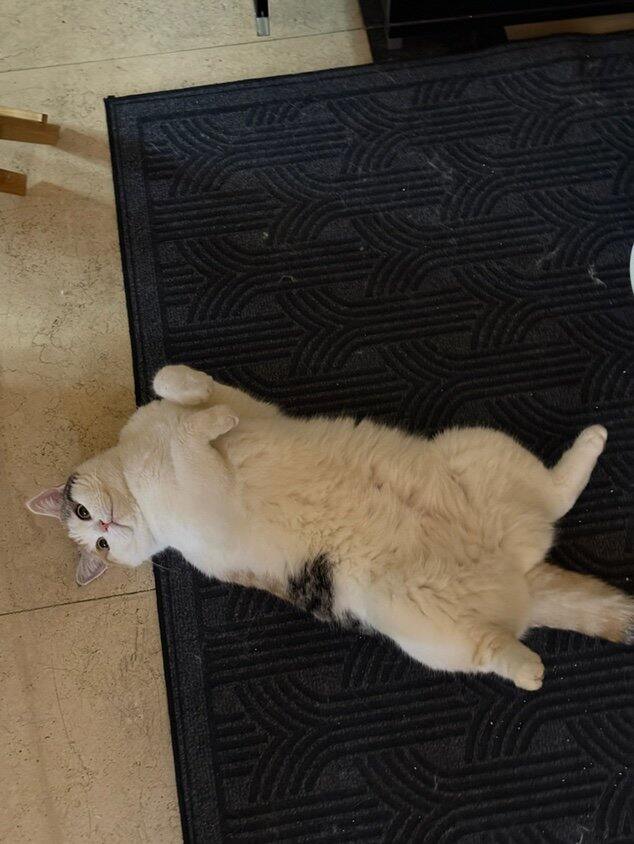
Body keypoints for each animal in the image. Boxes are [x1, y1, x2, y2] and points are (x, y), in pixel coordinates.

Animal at [27, 364, 634, 691]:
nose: (107, 524)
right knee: (491, 647)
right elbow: (193, 441)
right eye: (97, 540)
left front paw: (203, 407)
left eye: (85, 519)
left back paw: (593, 441)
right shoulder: (204, 502)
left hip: (476, 450)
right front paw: (206, 426)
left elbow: (175, 383)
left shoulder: (250, 408)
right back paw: (527, 670)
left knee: (554, 493)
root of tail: (517, 573)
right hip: (420, 626)